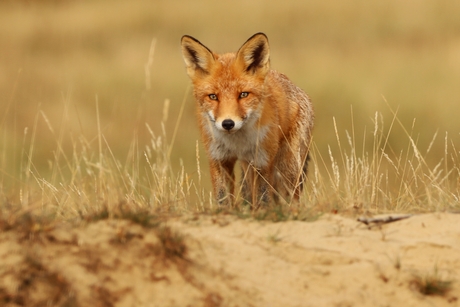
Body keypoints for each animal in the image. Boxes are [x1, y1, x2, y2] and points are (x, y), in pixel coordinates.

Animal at [181, 33, 314, 207]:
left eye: (243, 94)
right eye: (213, 96)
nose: (228, 123)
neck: (237, 142)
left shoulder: (262, 160)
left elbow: (263, 197)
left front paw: (263, 212)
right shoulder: (218, 158)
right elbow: (223, 198)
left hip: (287, 166)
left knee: (291, 196)